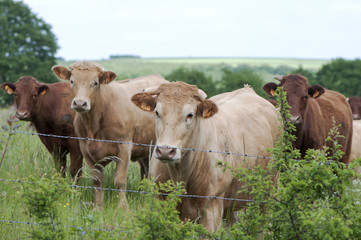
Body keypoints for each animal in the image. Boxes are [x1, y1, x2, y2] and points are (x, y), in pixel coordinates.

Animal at [52, 61, 169, 209]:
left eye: (95, 83)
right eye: (72, 81)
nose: (79, 103)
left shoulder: (124, 147)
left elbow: (120, 180)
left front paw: (123, 208)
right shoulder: (85, 149)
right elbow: (96, 179)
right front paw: (98, 206)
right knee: (146, 172)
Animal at [130, 82, 278, 231]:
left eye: (190, 115)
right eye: (157, 112)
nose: (165, 151)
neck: (181, 174)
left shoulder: (211, 209)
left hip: (268, 192)